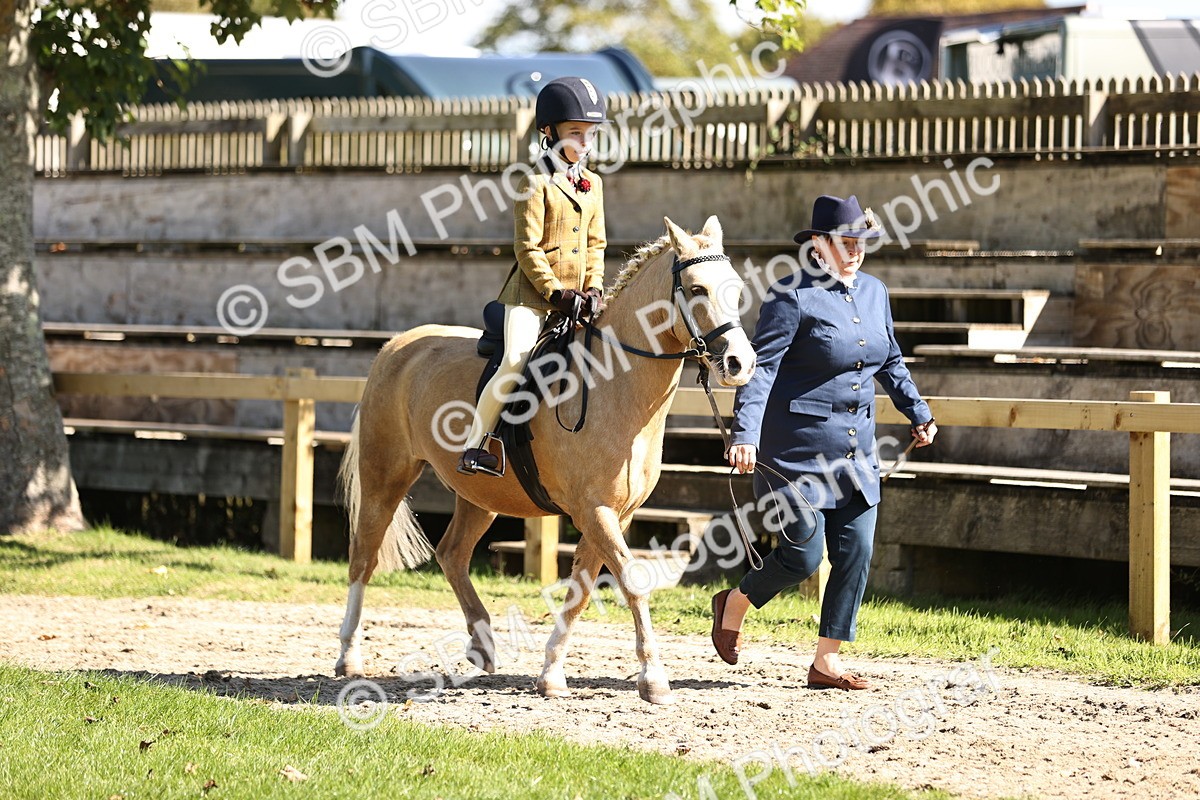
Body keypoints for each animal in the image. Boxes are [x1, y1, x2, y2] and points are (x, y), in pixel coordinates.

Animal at [334, 214, 756, 704]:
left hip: (481, 495)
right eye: (696, 288)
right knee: (363, 558)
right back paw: (349, 658)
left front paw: (551, 673)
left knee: (452, 553)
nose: (739, 363)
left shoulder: (615, 514)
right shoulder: (594, 510)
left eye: (736, 289)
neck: (616, 386)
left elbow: (581, 591)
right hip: (385, 477)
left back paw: (483, 645)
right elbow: (632, 582)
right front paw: (653, 678)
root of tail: (398, 344)